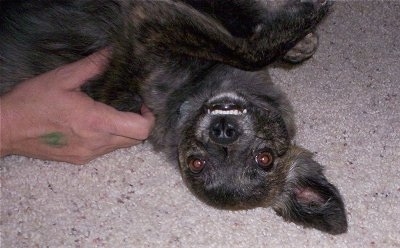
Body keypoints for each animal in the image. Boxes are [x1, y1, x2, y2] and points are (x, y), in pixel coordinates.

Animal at [0, 0, 346, 233]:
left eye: (264, 159)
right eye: (197, 163)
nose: (223, 131)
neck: (196, 87)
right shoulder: (152, 28)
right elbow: (250, 45)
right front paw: (300, 34)